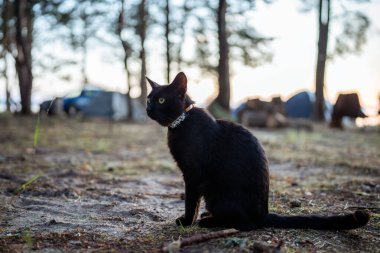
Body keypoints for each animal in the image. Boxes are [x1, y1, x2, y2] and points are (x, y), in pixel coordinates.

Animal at [146, 71, 372, 231]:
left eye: (161, 100)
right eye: (149, 99)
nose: (148, 108)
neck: (181, 122)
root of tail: (263, 213)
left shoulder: (193, 174)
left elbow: (191, 202)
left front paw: (186, 221)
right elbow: (192, 202)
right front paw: (188, 220)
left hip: (216, 193)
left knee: (246, 225)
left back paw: (208, 221)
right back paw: (208, 217)